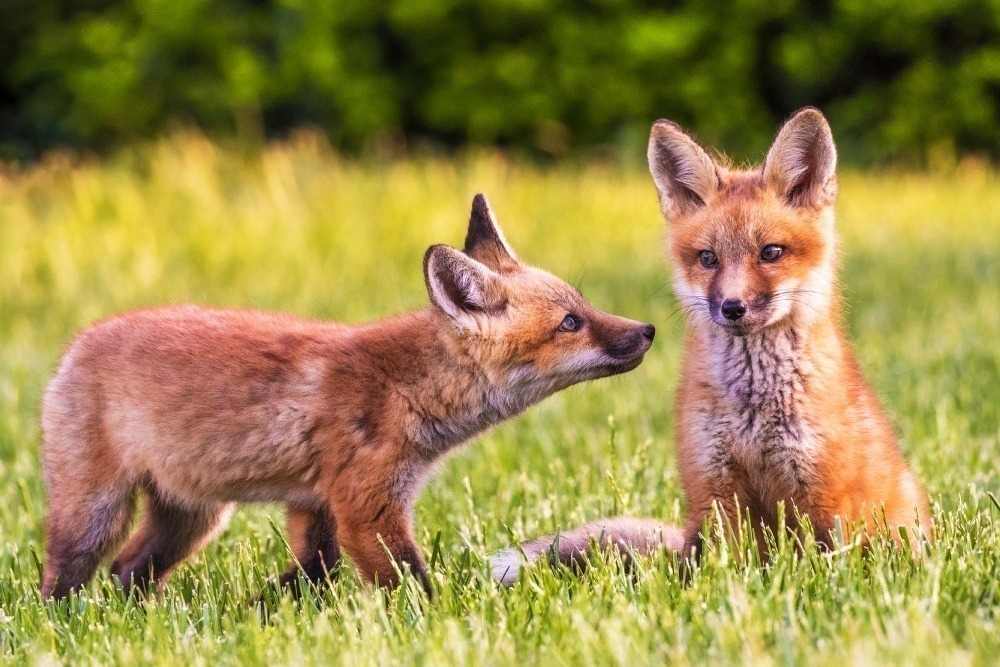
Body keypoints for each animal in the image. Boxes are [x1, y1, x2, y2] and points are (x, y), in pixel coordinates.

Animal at [41, 194, 656, 600]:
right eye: (571, 323)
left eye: (583, 306)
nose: (648, 330)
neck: (405, 388)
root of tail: (77, 342)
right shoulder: (367, 505)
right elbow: (410, 583)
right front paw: (440, 619)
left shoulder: (317, 502)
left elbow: (315, 571)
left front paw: (273, 609)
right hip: (96, 511)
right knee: (64, 575)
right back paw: (62, 619)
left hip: (193, 516)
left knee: (127, 569)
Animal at [492, 109, 928, 584]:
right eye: (707, 258)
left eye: (770, 252)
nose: (732, 307)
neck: (754, 409)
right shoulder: (715, 486)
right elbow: (728, 571)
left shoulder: (824, 495)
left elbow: (831, 566)